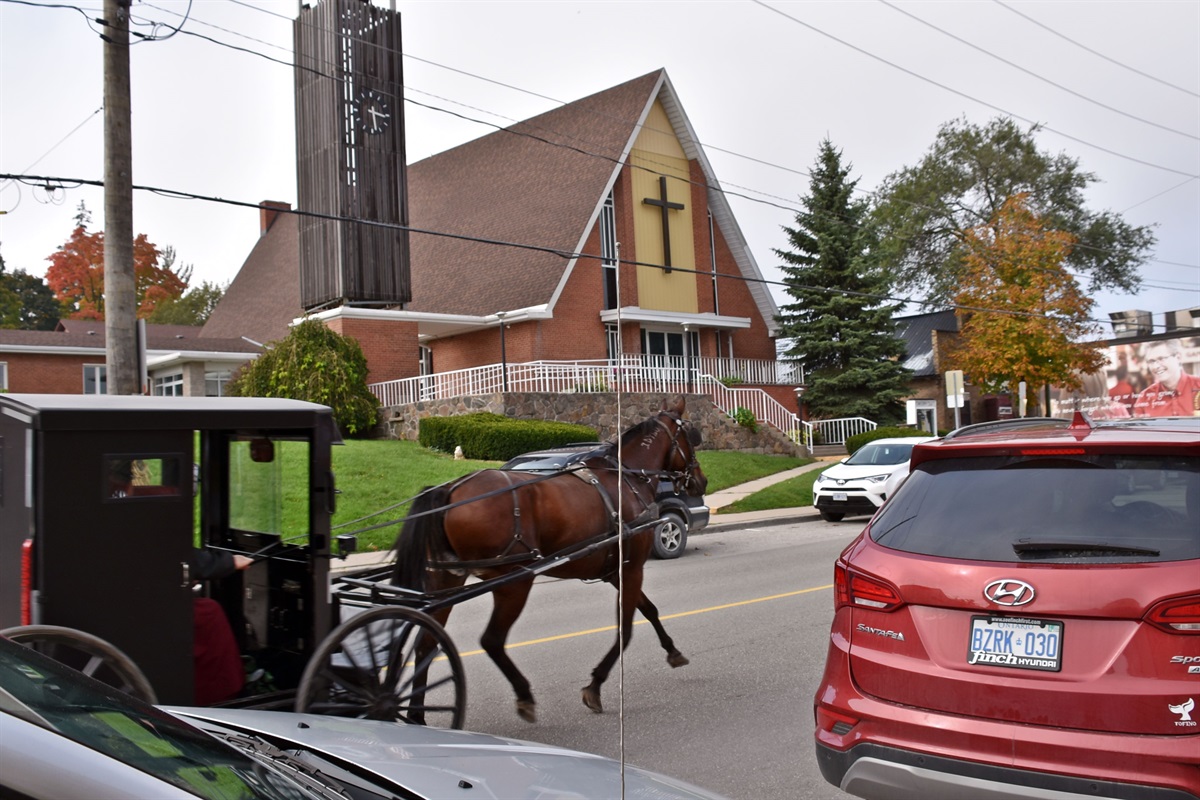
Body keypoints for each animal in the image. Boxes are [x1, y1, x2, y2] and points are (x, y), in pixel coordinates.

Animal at [393, 395, 705, 724]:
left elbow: (650, 610)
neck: (627, 479)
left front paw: (673, 651)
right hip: (515, 580)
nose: (701, 480)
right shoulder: (631, 568)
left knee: (426, 644)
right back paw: (524, 695)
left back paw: (416, 714)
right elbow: (627, 628)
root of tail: (450, 489)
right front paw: (595, 686)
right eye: (691, 437)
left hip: (446, 578)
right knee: (491, 640)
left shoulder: (615, 572)